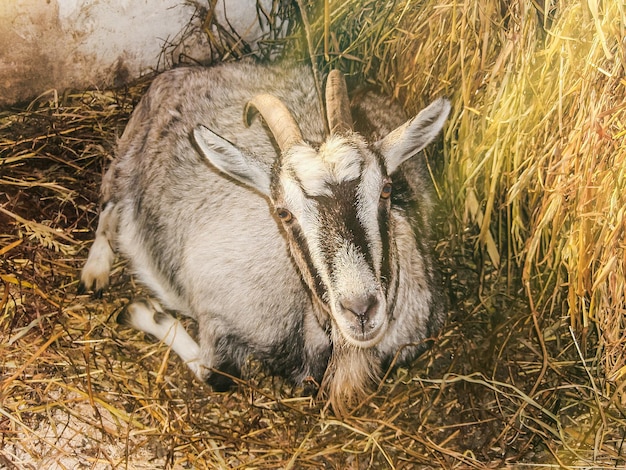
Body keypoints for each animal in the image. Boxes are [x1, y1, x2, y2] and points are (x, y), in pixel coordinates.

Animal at [79, 59, 448, 412]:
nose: (360, 311)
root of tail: (188, 71)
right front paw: (143, 312)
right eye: (283, 212)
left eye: (386, 189)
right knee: (110, 204)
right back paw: (94, 272)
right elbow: (218, 375)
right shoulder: (214, 305)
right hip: (128, 156)